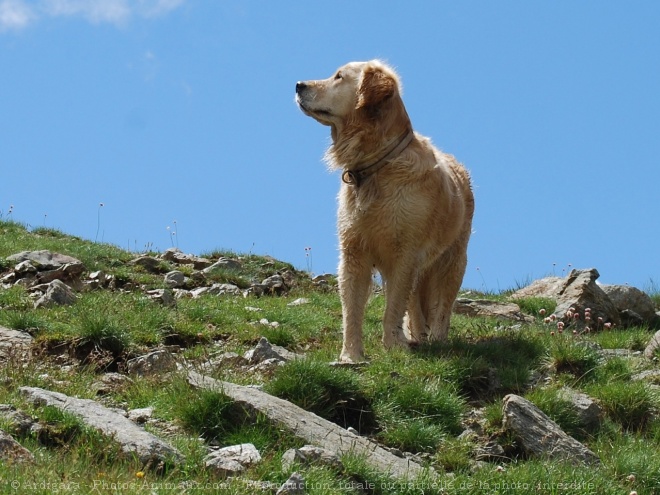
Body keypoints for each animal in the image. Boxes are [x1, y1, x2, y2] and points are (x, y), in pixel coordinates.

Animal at [296, 61, 474, 364]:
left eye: (339, 77)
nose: (298, 85)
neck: (376, 167)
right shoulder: (354, 252)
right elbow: (352, 309)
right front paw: (350, 355)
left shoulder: (406, 253)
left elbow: (394, 305)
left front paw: (393, 345)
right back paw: (418, 335)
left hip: (452, 257)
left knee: (443, 302)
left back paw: (437, 338)